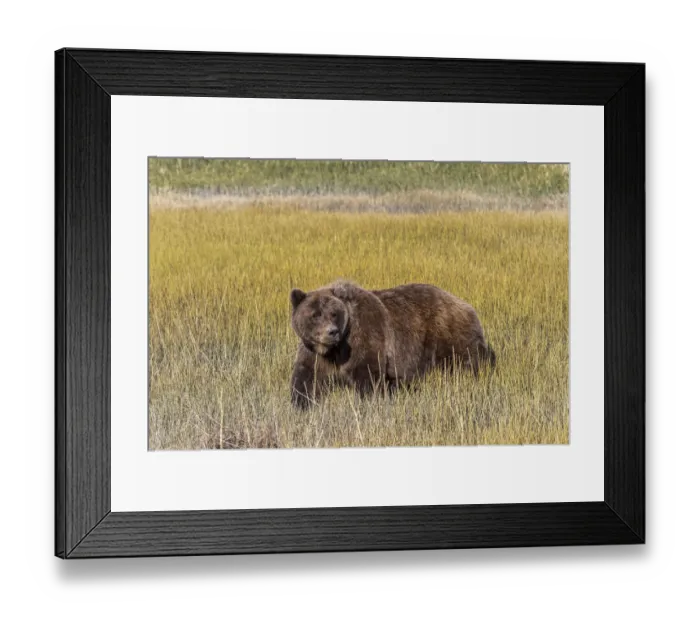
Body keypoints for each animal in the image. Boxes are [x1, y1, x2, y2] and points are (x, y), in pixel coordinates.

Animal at [289, 280, 495, 409]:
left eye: (333, 313)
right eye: (315, 314)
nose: (332, 332)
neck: (334, 350)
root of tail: (466, 305)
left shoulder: (365, 337)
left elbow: (367, 375)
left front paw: (369, 402)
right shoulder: (315, 353)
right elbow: (307, 377)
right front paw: (300, 404)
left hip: (449, 336)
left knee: (468, 363)